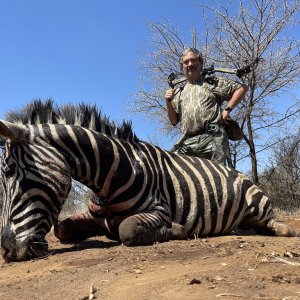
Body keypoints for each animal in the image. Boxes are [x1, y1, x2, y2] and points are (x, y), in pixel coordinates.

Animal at [0, 99, 296, 262]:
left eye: (10, 171)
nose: (7, 251)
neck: (117, 171)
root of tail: (239, 173)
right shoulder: (97, 217)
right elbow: (62, 228)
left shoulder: (158, 210)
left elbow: (127, 230)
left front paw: (177, 230)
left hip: (257, 204)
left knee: (275, 224)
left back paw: (283, 230)